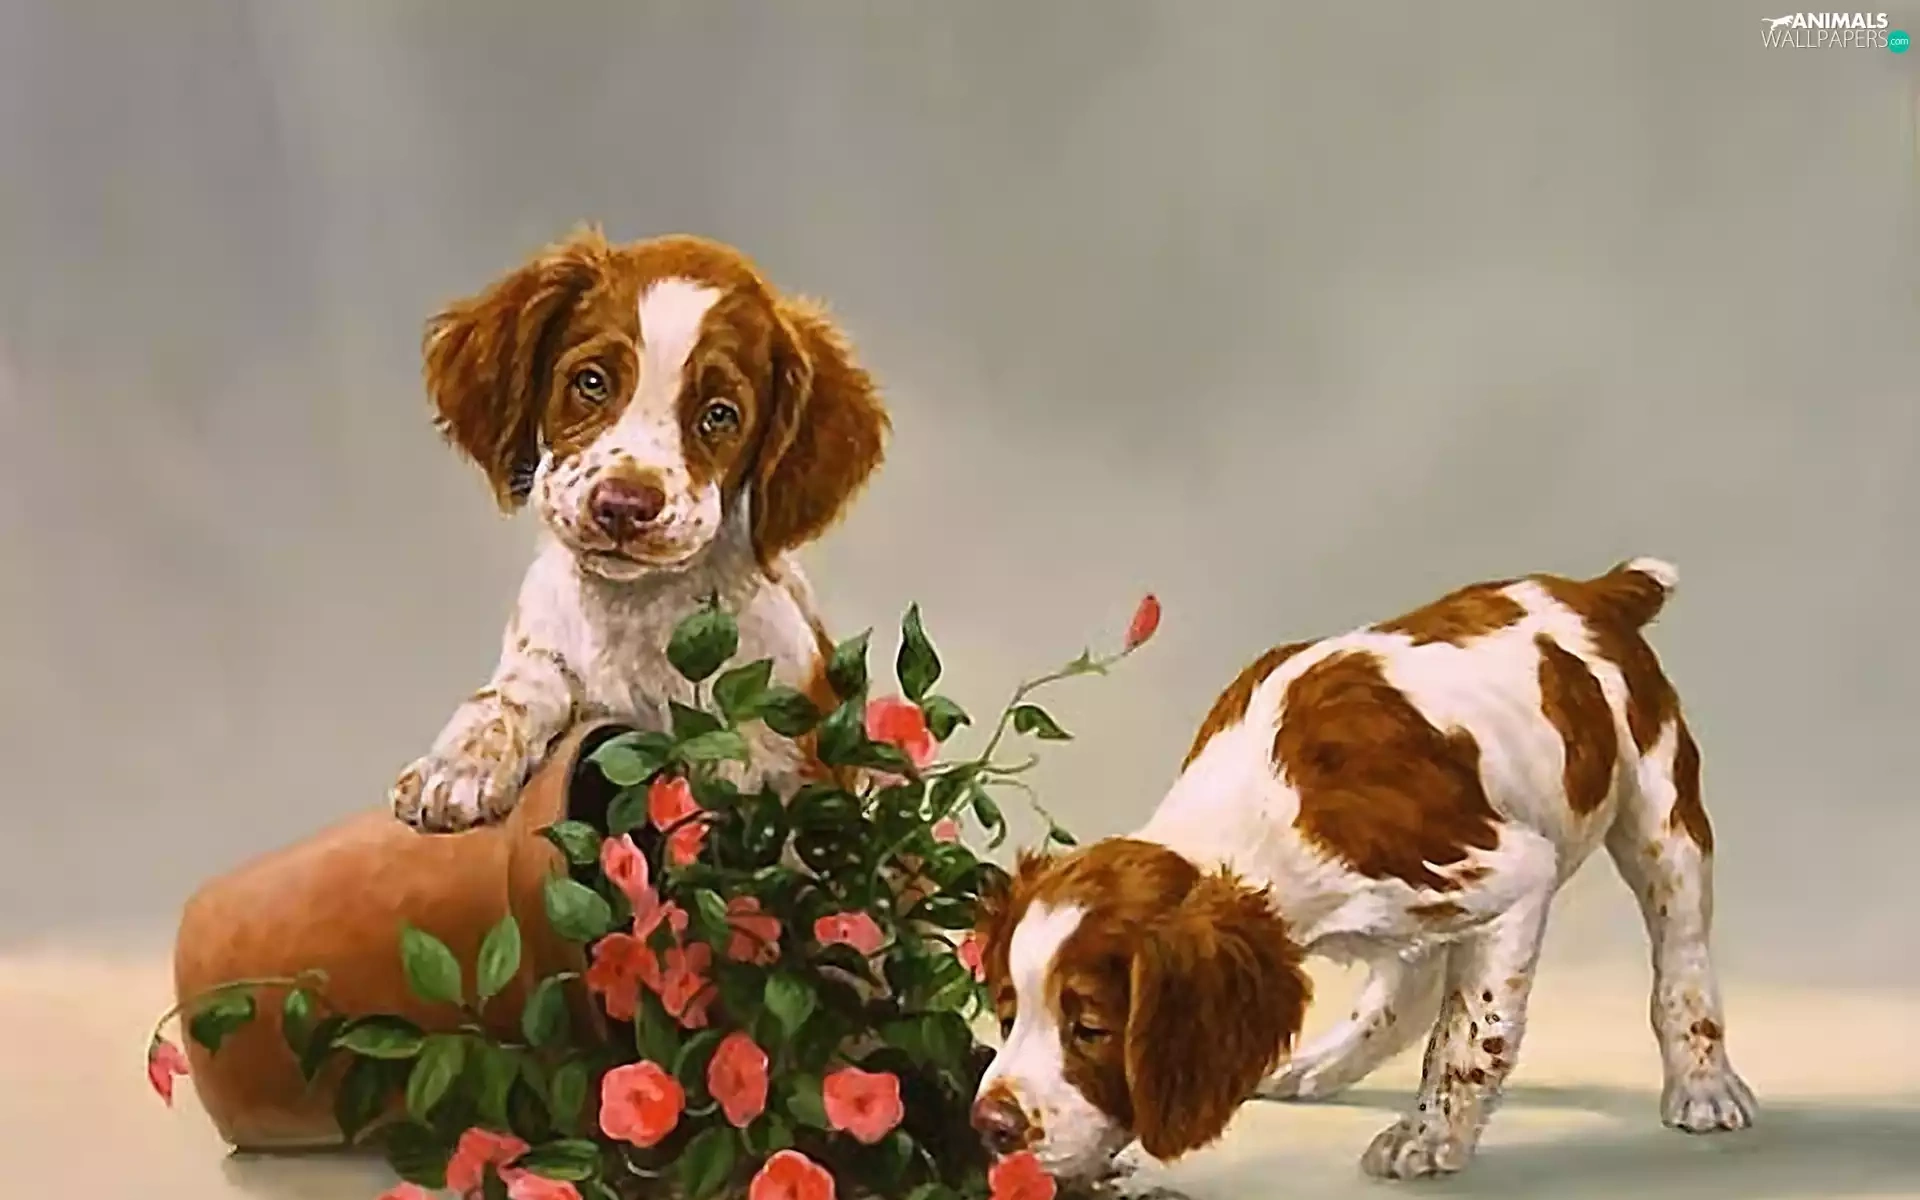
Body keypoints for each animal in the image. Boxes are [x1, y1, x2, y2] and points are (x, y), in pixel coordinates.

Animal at [390, 229, 888, 833]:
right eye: (591, 382)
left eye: (719, 414)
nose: (624, 507)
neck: (632, 607)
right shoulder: (546, 646)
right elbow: (519, 685)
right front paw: (458, 765)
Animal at [969, 559, 1756, 1181]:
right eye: (1006, 1012)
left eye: (1090, 1027)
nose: (990, 1128)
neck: (1260, 809)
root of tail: (1596, 591)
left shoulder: (1510, 874)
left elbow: (1471, 1032)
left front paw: (1427, 1136)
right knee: (1409, 983)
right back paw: (1321, 1063)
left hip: (1661, 815)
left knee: (1681, 957)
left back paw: (1705, 1087)